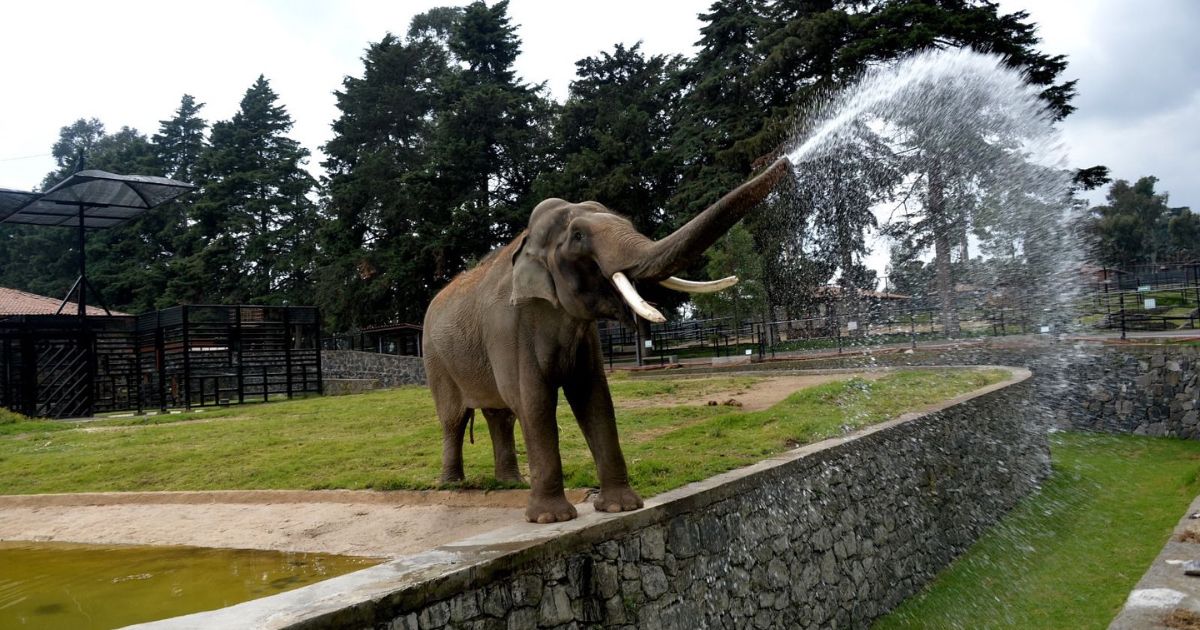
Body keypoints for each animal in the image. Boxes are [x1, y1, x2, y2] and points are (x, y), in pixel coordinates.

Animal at [421, 157, 791, 523]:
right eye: (578, 236)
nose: (786, 160)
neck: (525, 241)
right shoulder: (508, 329)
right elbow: (533, 401)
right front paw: (551, 518)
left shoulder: (584, 336)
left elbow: (594, 397)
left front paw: (620, 507)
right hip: (435, 360)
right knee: (454, 418)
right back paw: (452, 484)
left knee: (500, 416)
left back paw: (512, 483)